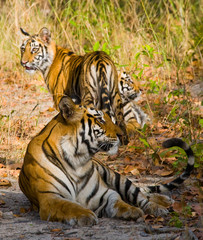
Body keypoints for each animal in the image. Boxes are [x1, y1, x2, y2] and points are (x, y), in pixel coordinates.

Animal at [19, 96, 195, 226]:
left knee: (139, 194)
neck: (77, 160)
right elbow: (69, 205)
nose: (122, 134)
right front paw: (86, 215)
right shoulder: (49, 198)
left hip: (115, 176)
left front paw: (133, 211)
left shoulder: (105, 193)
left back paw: (160, 205)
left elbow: (119, 201)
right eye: (100, 120)